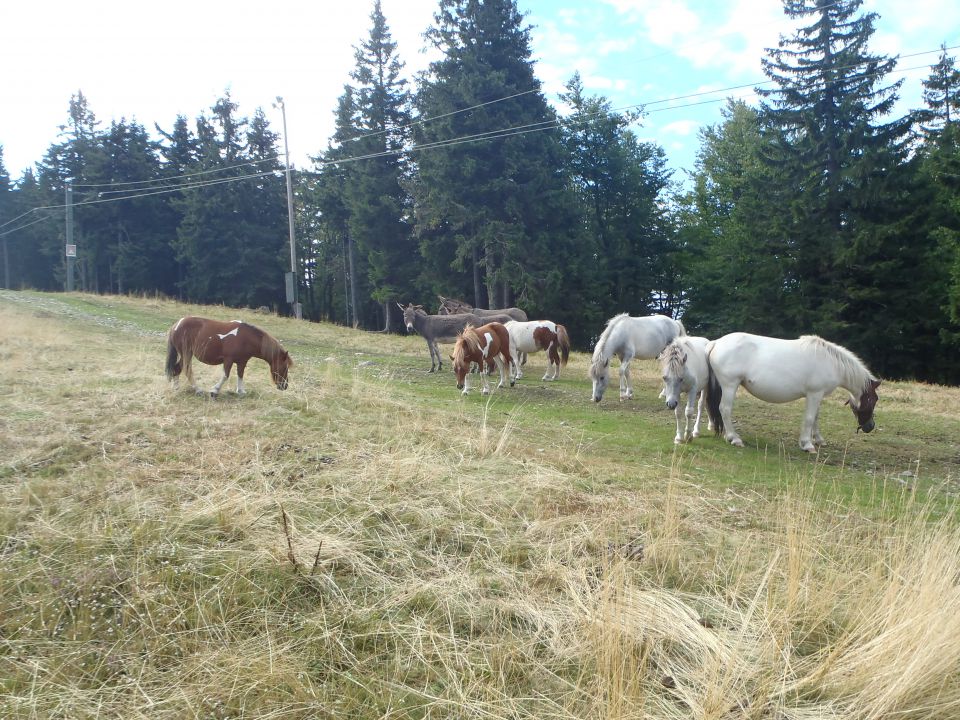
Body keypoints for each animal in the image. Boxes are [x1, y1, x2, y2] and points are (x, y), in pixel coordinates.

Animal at [700, 332, 880, 450]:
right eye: (874, 399)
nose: (870, 426)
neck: (831, 362)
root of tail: (715, 343)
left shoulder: (818, 395)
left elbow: (815, 418)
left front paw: (819, 440)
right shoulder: (814, 394)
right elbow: (809, 418)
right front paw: (807, 444)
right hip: (730, 385)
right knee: (725, 409)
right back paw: (734, 438)